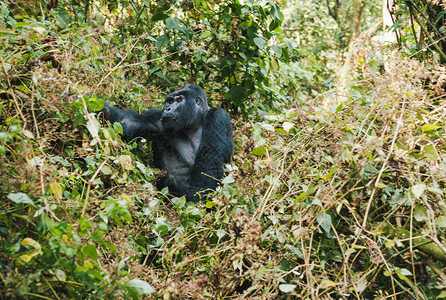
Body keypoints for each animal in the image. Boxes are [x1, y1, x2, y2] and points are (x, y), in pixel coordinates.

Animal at [100, 83, 233, 203]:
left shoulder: (218, 116)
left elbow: (210, 160)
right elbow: (126, 122)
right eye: (169, 101)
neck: (194, 123)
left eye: (179, 100)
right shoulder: (156, 118)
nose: (168, 108)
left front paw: (199, 197)